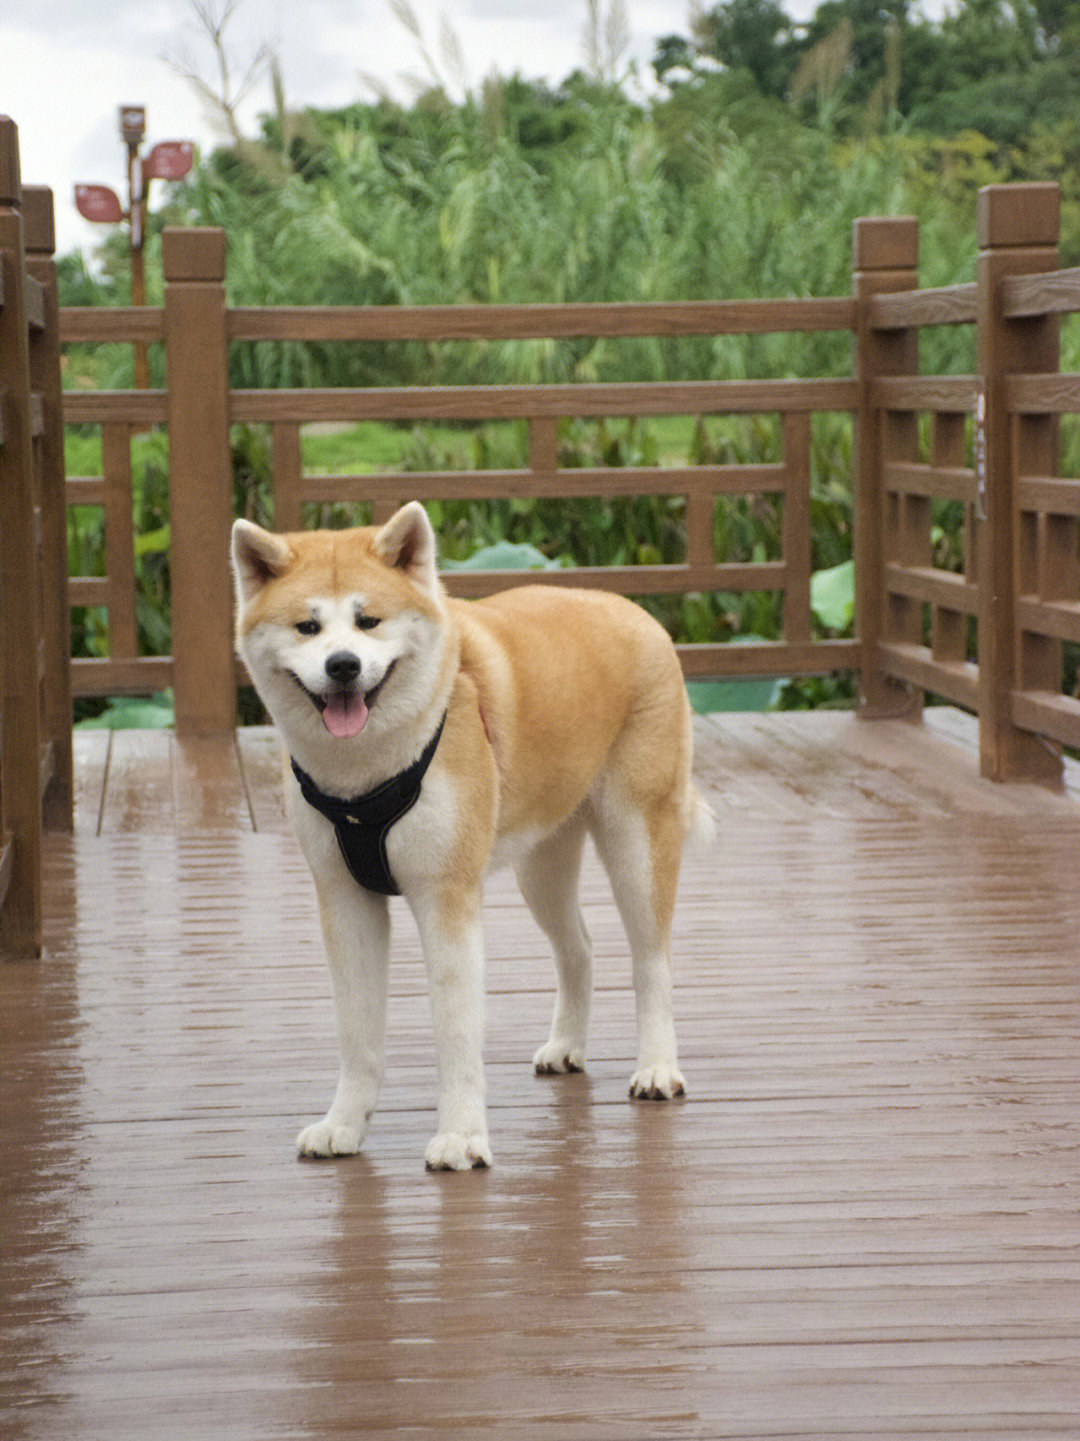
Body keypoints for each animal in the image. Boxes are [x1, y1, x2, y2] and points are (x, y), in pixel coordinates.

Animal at [232, 507, 712, 1170]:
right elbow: (358, 1036)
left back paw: (657, 1068)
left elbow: (456, 1034)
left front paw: (460, 1138)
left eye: (367, 621)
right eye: (308, 627)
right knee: (579, 948)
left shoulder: (447, 899)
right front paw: (344, 1125)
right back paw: (567, 1044)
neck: (365, 776)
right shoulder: (345, 902)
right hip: (541, 867)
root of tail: (635, 613)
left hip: (636, 844)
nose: (343, 666)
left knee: (651, 962)